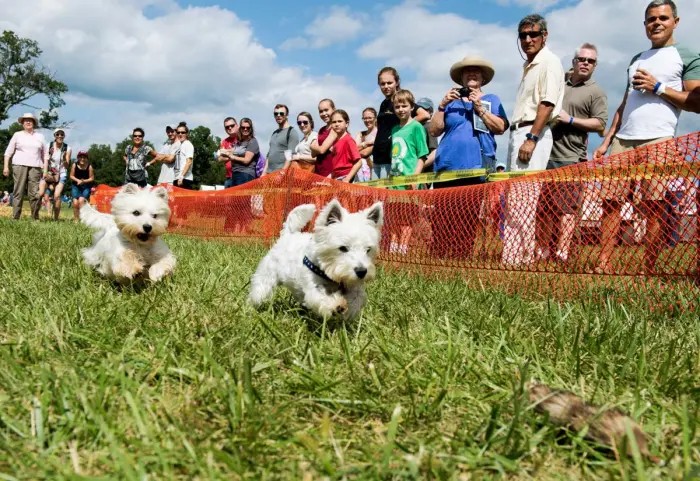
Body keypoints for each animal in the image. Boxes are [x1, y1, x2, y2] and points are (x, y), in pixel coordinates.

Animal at [249, 199, 386, 318]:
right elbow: (320, 297)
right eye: (343, 248)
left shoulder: (352, 284)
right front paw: (336, 304)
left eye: (368, 249)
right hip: (267, 277)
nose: (362, 272)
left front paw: (349, 309)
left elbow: (358, 297)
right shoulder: (312, 286)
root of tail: (288, 234)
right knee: (260, 289)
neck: (330, 274)